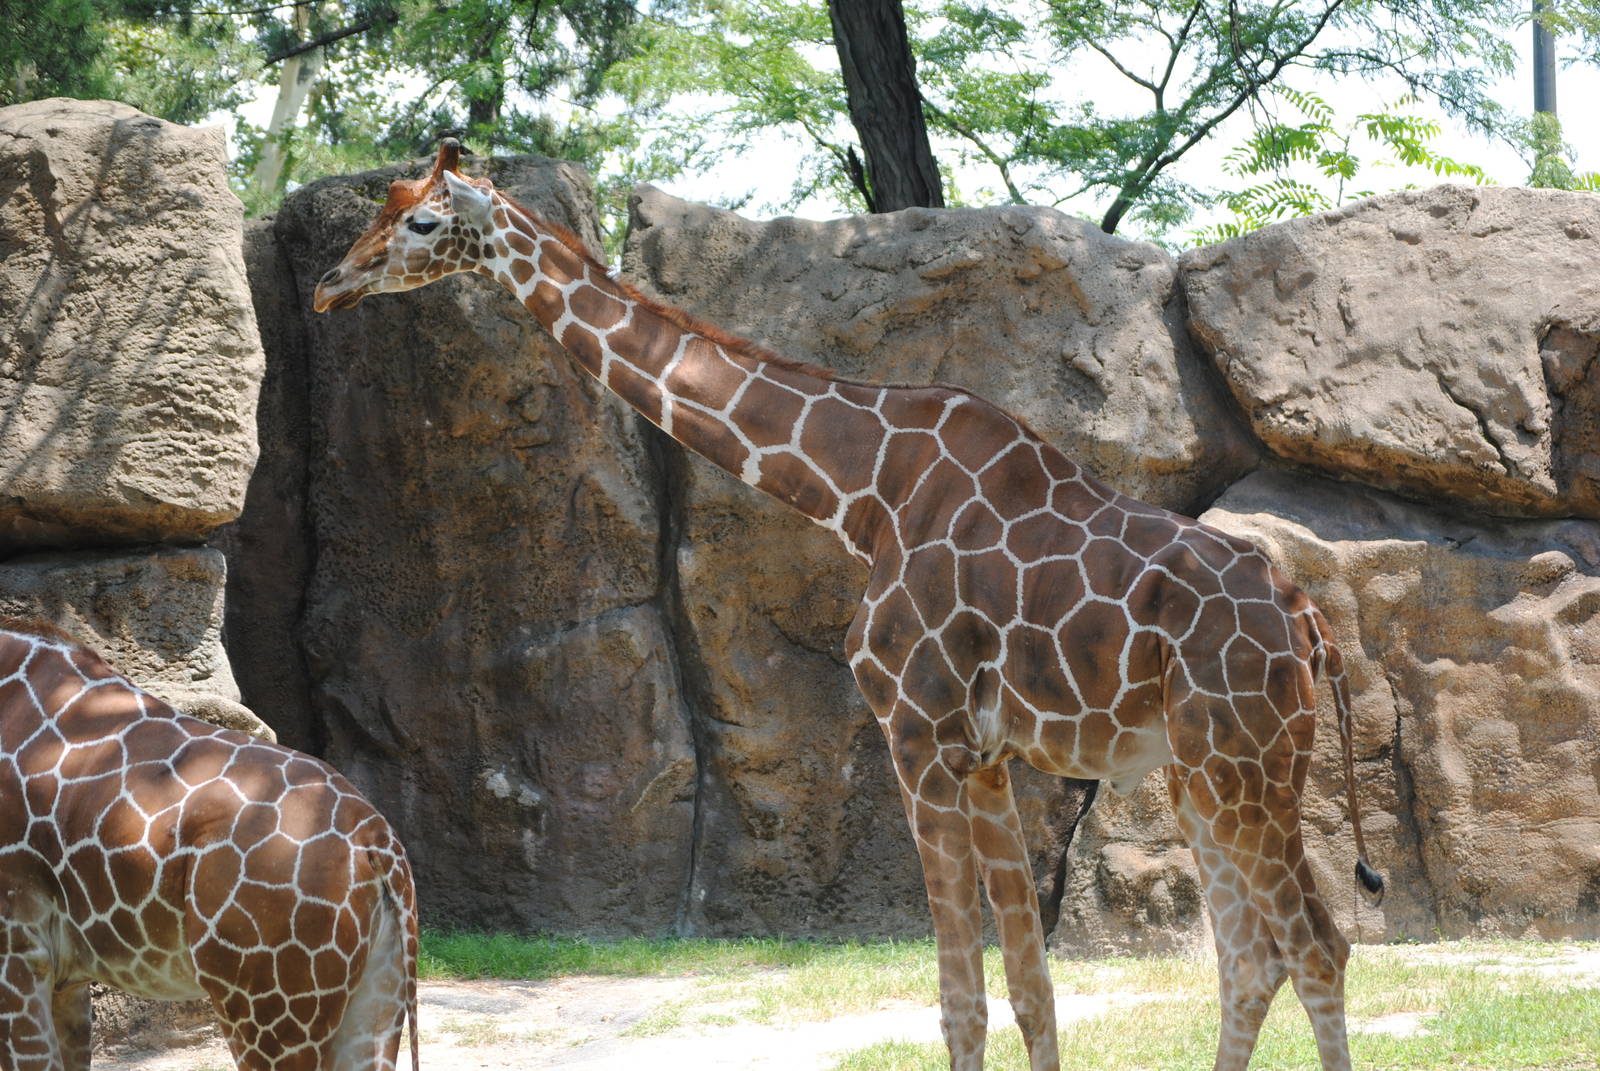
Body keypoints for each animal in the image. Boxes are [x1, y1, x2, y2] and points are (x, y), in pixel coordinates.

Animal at [313, 140, 1385, 1071]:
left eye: (422, 222)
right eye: (380, 208)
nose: (328, 285)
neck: (861, 490)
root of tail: (1311, 625)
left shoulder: (917, 733)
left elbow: (962, 999)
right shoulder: (985, 754)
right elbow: (1031, 989)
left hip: (1240, 763)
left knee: (1314, 945)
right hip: (1206, 770)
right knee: (1253, 955)